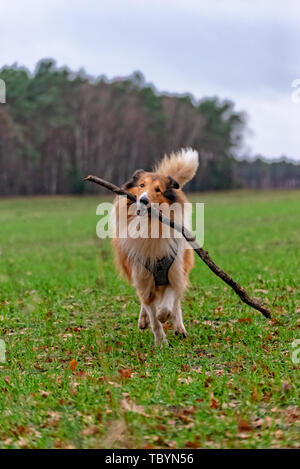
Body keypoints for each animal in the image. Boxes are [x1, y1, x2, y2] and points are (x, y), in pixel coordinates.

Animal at [111, 148, 198, 346]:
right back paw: (143, 321)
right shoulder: (143, 278)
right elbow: (152, 315)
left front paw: (165, 316)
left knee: (176, 303)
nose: (143, 200)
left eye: (158, 190)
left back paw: (179, 327)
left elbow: (167, 306)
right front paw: (160, 342)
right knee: (144, 302)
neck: (150, 226)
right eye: (141, 185)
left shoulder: (173, 273)